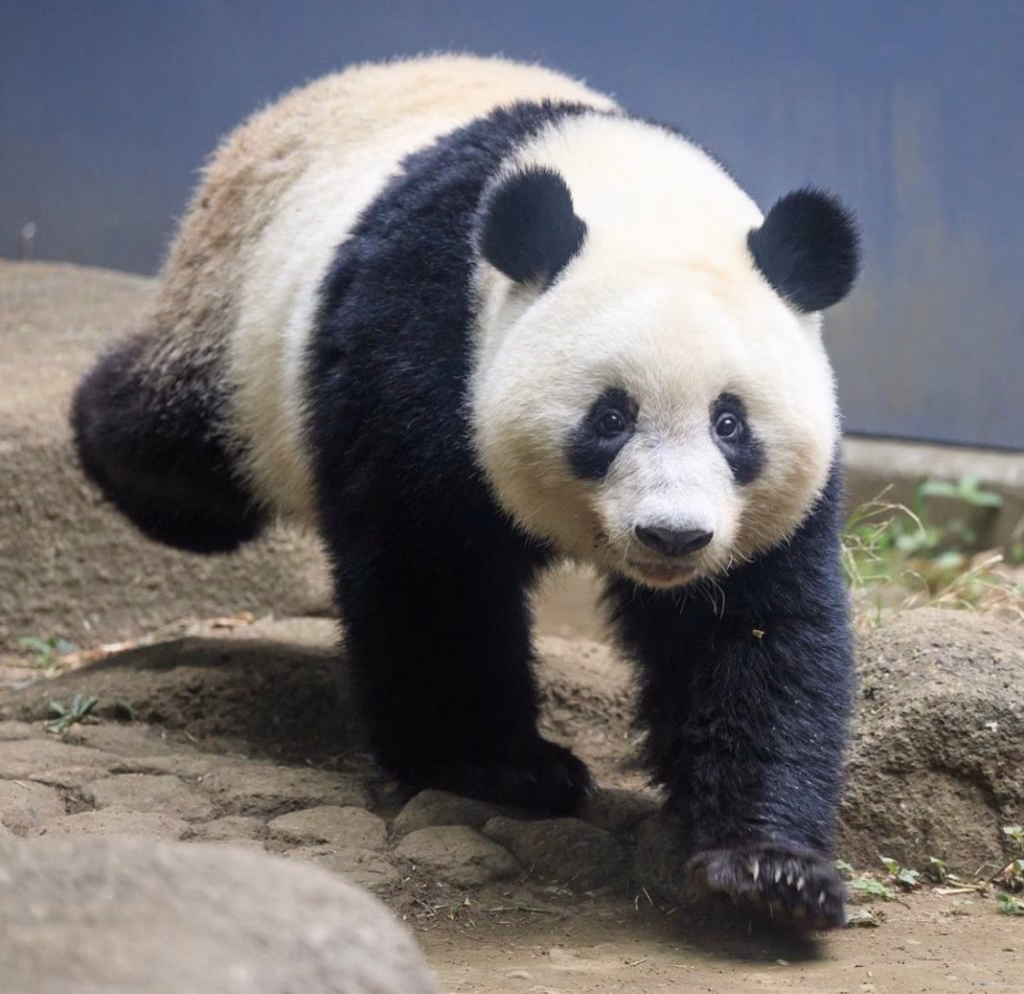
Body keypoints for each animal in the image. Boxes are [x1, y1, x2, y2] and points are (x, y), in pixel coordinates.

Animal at [72, 54, 860, 930]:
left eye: (730, 422)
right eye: (610, 417)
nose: (672, 536)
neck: (638, 197)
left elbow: (752, 636)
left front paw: (770, 871)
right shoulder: (423, 347)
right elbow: (432, 578)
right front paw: (503, 766)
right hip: (236, 320)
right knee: (175, 449)